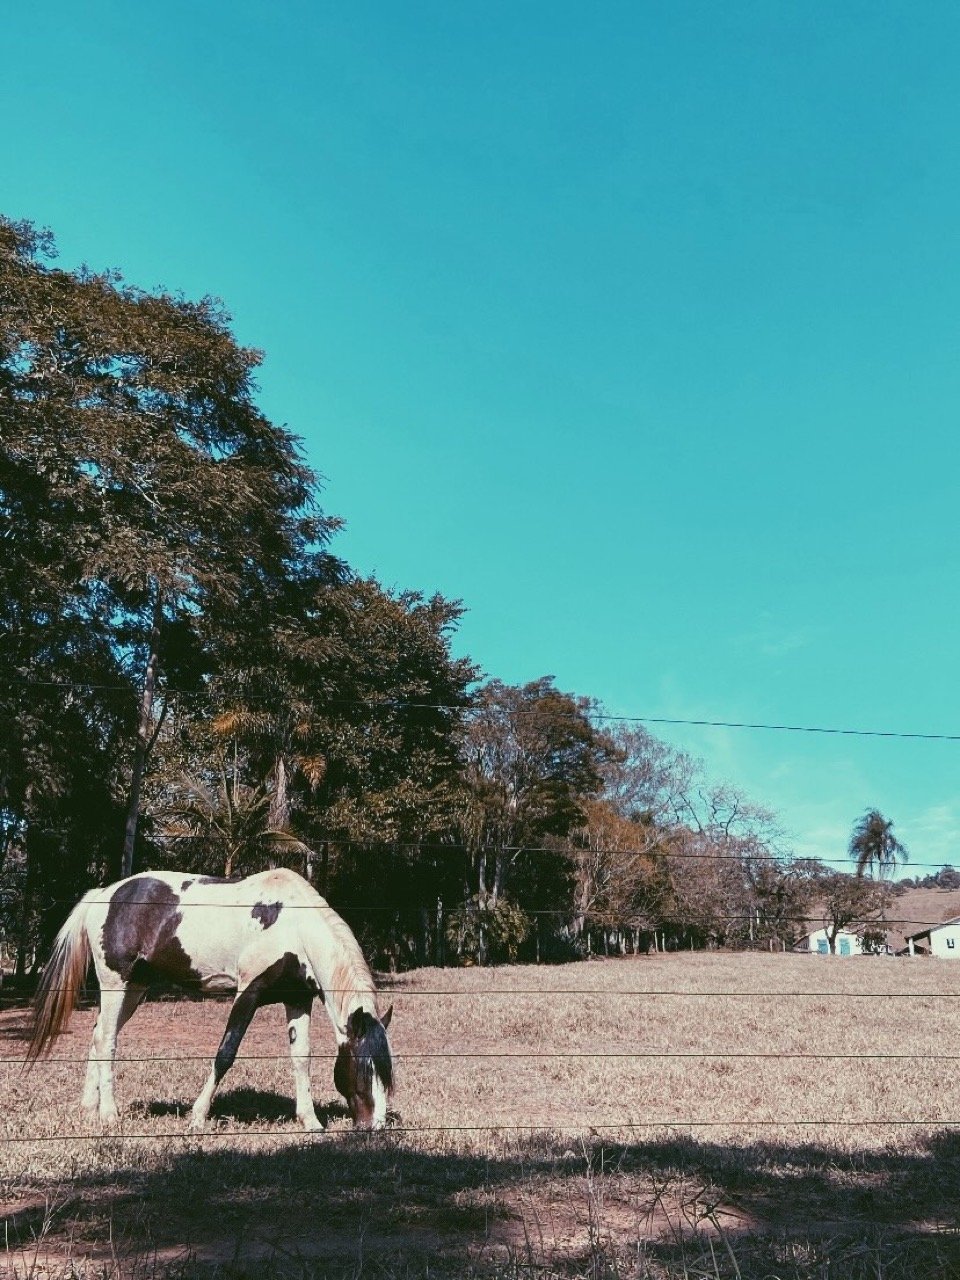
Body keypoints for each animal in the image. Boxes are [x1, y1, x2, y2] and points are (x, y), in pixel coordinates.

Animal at [26, 868, 393, 1131]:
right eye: (364, 1067)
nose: (375, 1126)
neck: (294, 926)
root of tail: (103, 893)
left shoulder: (297, 999)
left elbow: (301, 1058)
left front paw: (311, 1121)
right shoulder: (248, 993)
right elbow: (225, 1054)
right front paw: (198, 1116)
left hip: (134, 989)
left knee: (98, 1034)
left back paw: (89, 1108)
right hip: (115, 983)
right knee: (107, 1041)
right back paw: (108, 1113)